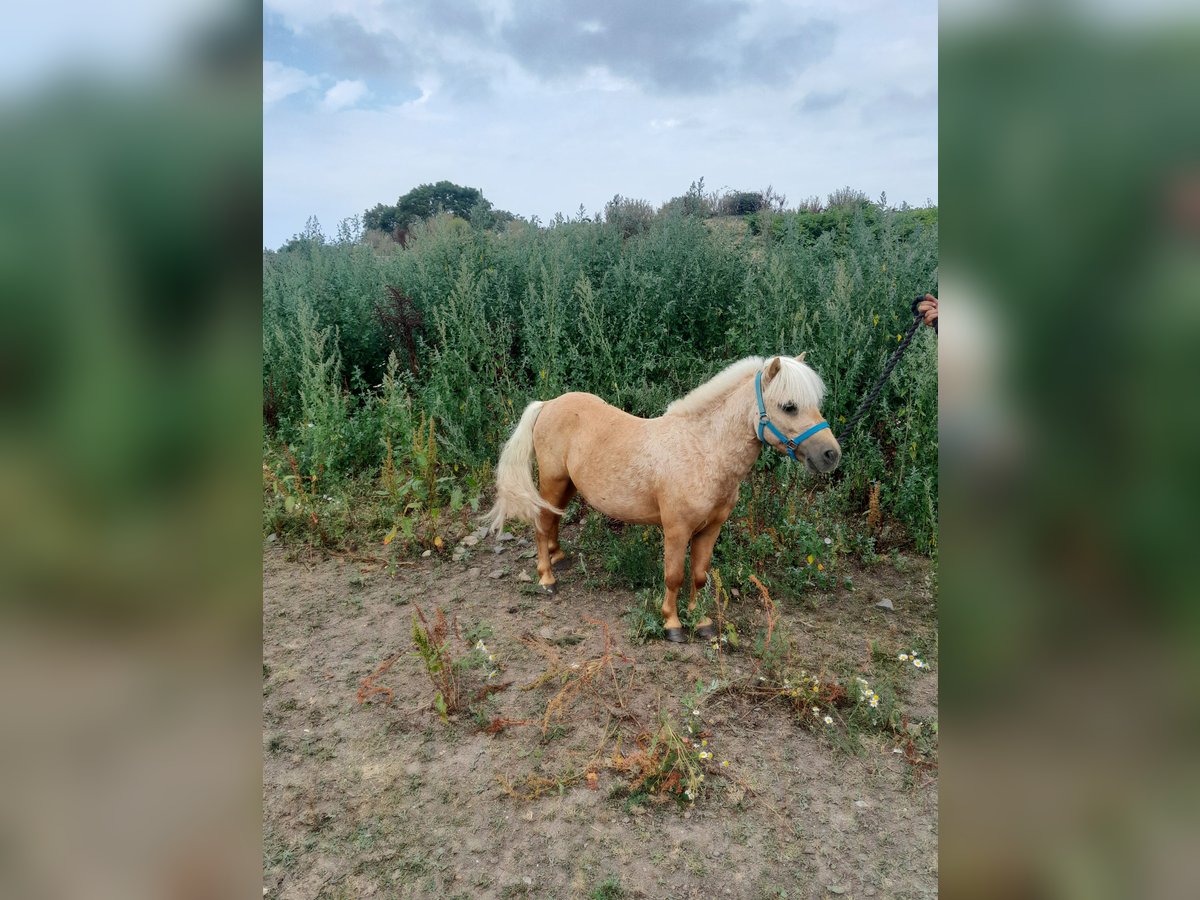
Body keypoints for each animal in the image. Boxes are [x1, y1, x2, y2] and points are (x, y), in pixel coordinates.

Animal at [482, 355, 840, 643]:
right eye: (789, 406)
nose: (831, 455)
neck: (702, 451)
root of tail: (548, 403)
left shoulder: (710, 529)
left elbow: (699, 575)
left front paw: (702, 621)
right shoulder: (677, 529)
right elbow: (675, 576)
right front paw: (673, 625)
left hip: (567, 484)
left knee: (553, 518)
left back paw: (558, 557)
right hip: (553, 480)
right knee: (542, 522)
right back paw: (547, 577)